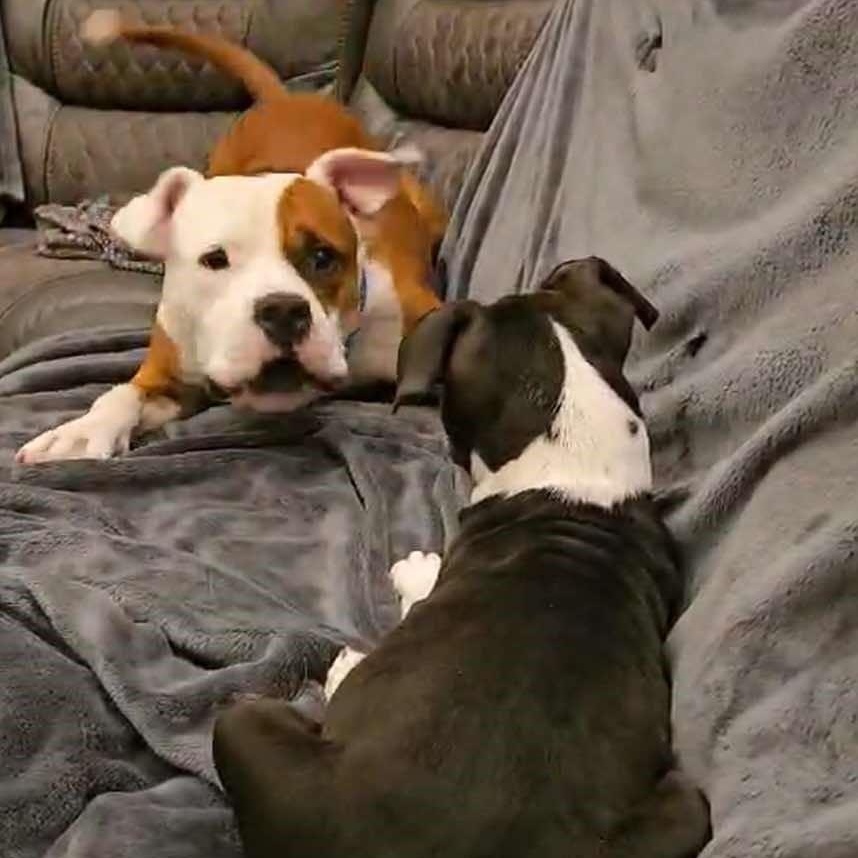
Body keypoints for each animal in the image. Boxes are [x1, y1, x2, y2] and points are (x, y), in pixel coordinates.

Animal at [16, 11, 445, 464]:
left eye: (322, 257)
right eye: (214, 260)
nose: (283, 311)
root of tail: (283, 101)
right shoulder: (167, 373)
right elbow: (121, 395)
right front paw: (81, 432)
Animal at [212, 257, 711, 858]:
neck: (576, 469)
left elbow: (420, 587)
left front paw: (414, 568)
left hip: (241, 723)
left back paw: (344, 667)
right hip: (686, 807)